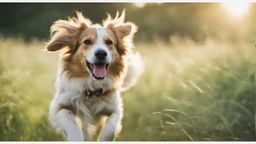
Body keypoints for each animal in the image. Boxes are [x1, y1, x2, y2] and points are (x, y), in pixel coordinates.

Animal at [44, 10, 143, 141]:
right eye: (87, 41)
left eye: (109, 42)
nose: (101, 53)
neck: (92, 87)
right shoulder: (59, 107)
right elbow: (71, 123)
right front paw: (76, 137)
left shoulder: (115, 109)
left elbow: (110, 128)